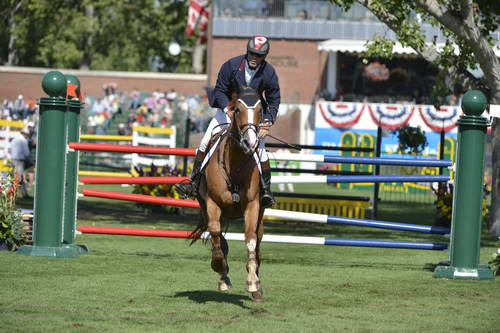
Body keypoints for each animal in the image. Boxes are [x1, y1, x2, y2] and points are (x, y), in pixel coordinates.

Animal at [191, 85, 268, 300]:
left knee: (258, 240)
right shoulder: (212, 204)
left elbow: (250, 239)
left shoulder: (252, 205)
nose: (250, 143)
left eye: (260, 111)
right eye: (237, 110)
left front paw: (253, 282)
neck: (235, 162)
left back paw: (257, 284)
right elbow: (216, 234)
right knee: (218, 235)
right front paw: (220, 268)